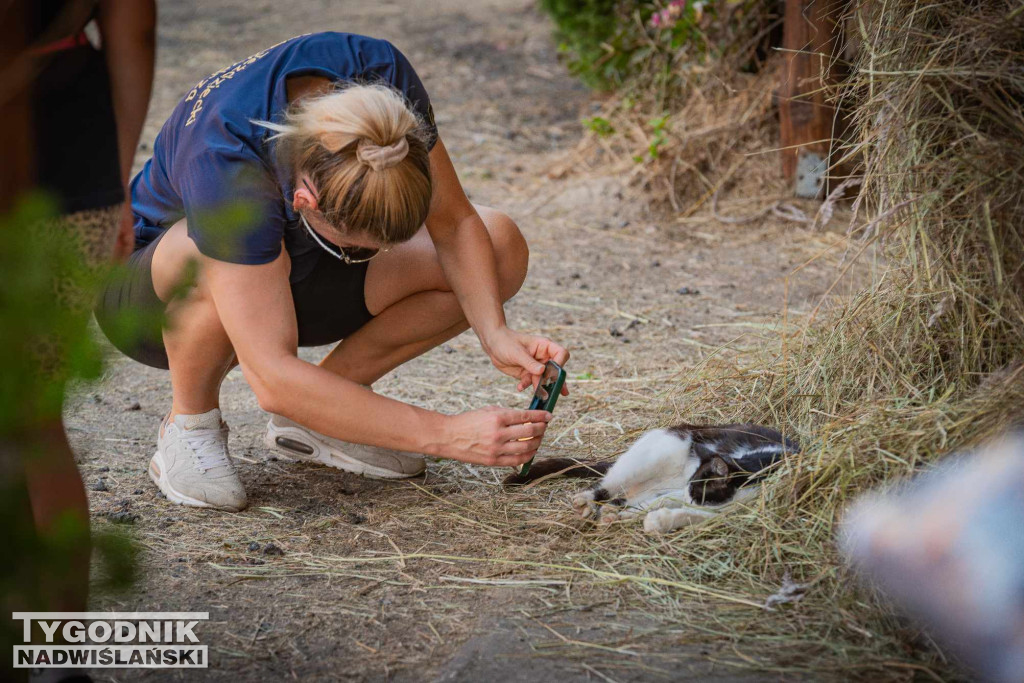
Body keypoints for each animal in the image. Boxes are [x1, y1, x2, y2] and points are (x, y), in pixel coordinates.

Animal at [505, 421, 798, 532]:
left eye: (698, 493)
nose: (687, 497)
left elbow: (691, 515)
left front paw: (660, 520)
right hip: (651, 456)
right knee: (606, 485)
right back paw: (587, 502)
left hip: (651, 484)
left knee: (627, 500)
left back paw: (615, 514)